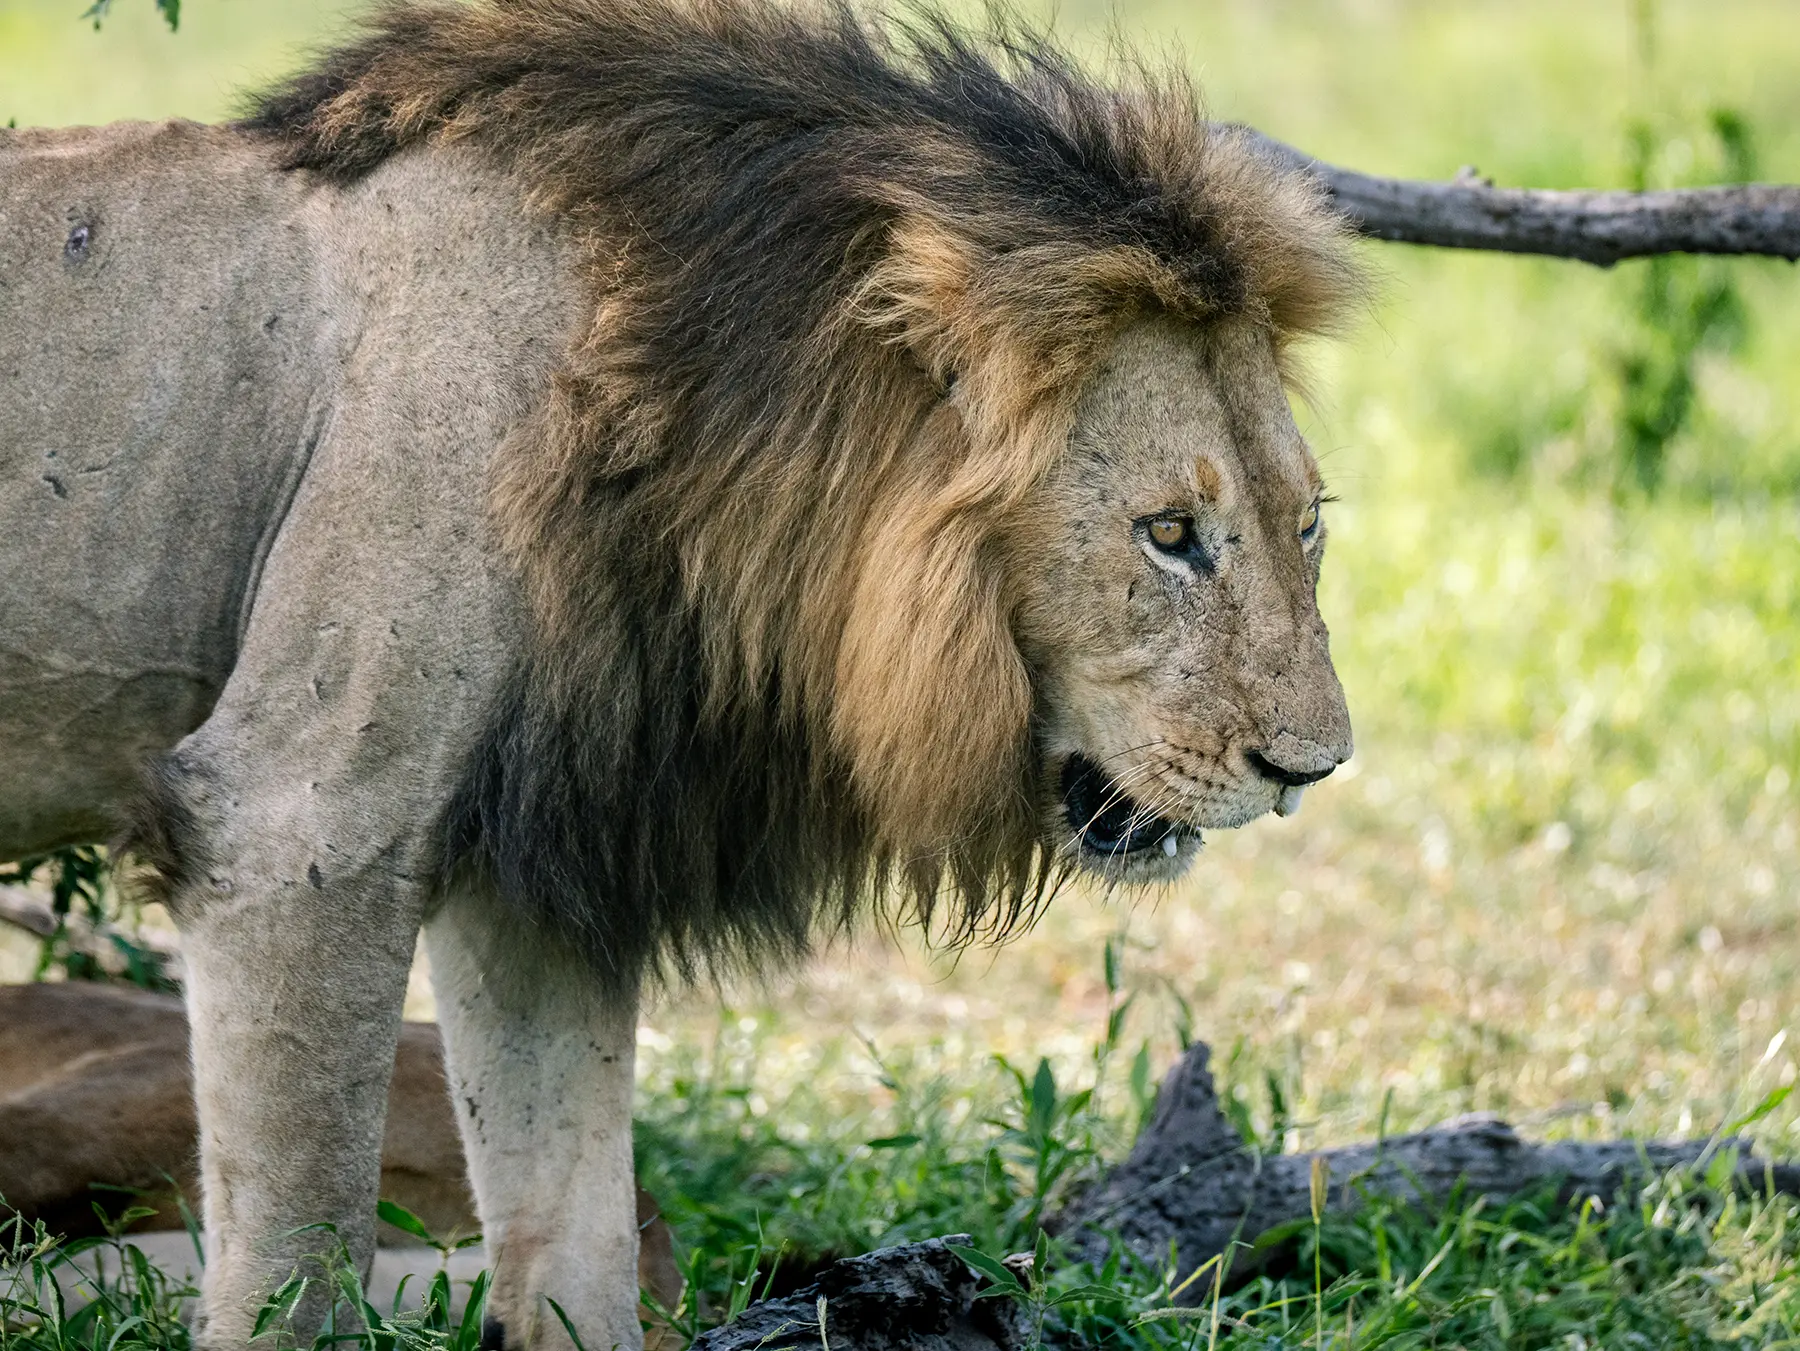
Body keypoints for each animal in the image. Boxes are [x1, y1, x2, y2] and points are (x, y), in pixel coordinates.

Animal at [0, 0, 1359, 1345]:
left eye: (1307, 523)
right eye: (1169, 534)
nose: (1312, 769)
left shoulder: (538, 876)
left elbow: (579, 1240)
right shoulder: (293, 832)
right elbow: (300, 1264)